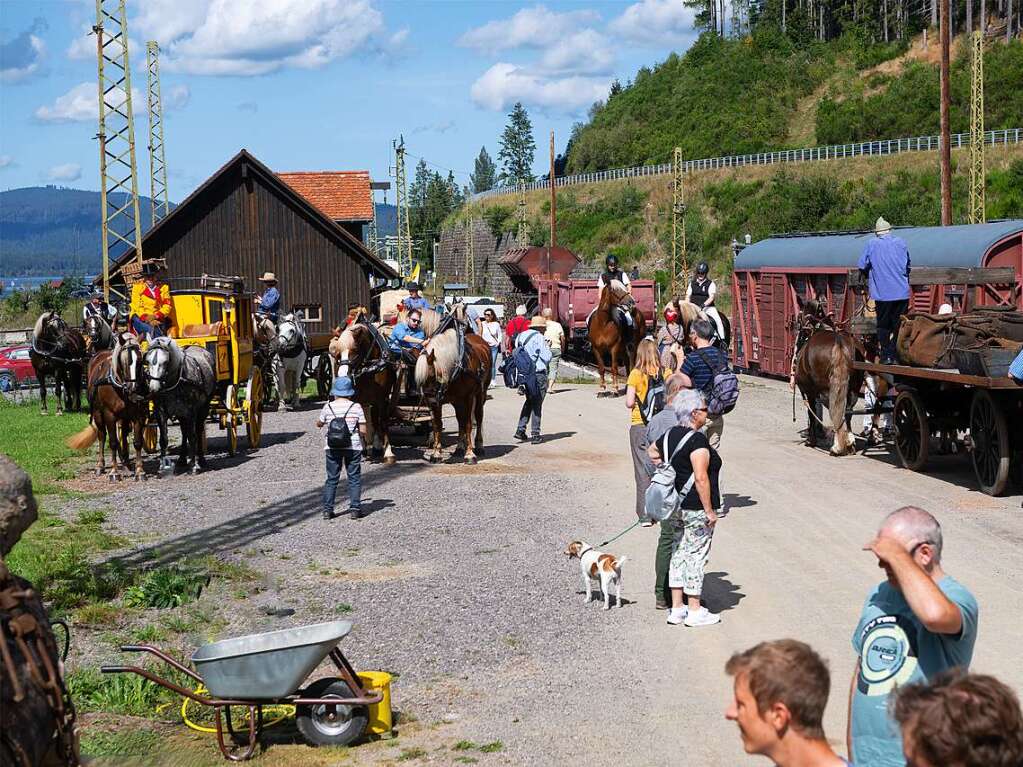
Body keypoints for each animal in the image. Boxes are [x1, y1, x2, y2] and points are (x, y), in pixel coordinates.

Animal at [65, 335, 149, 480]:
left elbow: (137, 442)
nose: (133, 389)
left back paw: (126, 462)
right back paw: (101, 465)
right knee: (102, 436)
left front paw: (139, 471)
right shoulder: (109, 415)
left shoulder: (139, 415)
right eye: (124, 361)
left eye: (140, 361)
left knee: (124, 434)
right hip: (98, 413)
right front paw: (114, 472)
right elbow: (113, 442)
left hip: (124, 417)